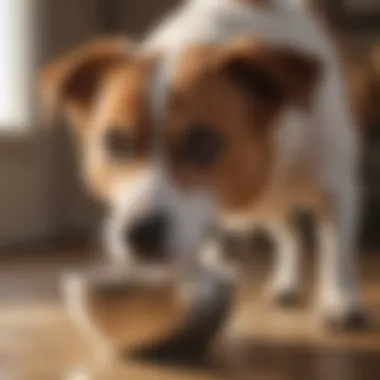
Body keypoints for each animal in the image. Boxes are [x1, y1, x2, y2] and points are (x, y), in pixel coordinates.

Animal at [41, 0, 368, 330]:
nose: (140, 234)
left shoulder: (337, 191)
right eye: (116, 143)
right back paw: (285, 282)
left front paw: (340, 299)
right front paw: (198, 287)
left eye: (204, 141)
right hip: (268, 207)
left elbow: (336, 251)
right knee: (288, 233)